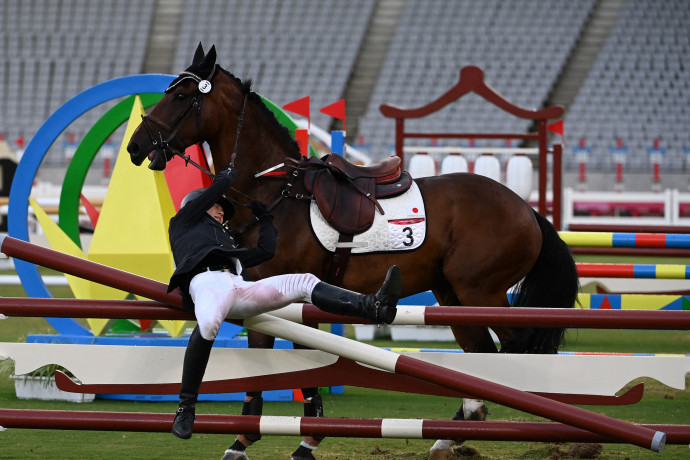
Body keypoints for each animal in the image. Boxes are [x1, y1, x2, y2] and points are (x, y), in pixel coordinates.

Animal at [127, 45, 576, 458]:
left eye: (181, 96)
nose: (134, 146)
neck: (275, 191)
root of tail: (526, 209)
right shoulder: (264, 297)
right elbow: (271, 361)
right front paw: (254, 436)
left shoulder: (289, 297)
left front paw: (300, 437)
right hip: (454, 297)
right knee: (481, 358)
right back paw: (451, 435)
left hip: (481, 293)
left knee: (518, 348)